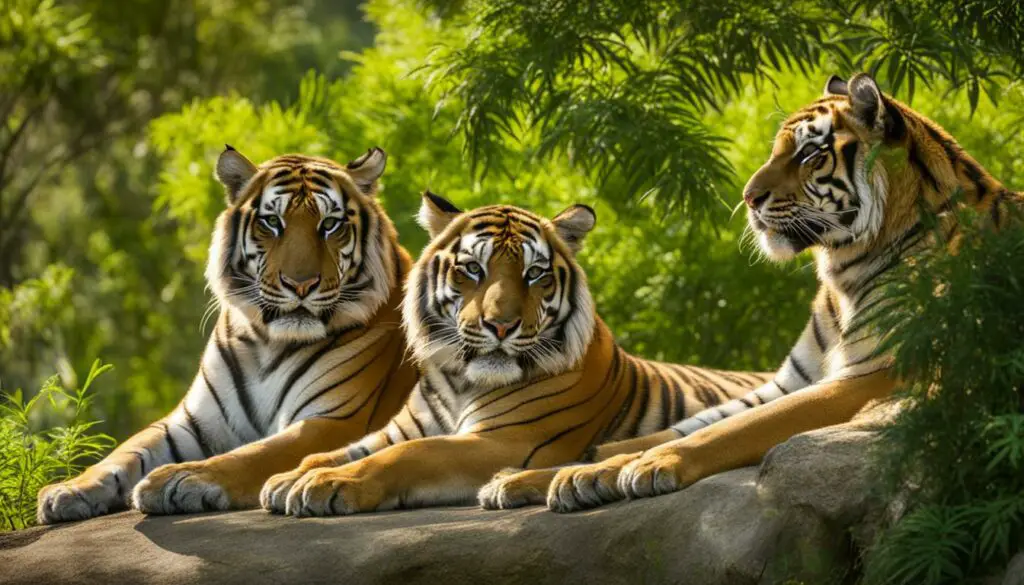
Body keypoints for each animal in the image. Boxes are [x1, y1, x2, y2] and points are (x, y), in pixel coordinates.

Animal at [36, 146, 418, 523]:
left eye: (329, 224)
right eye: (272, 222)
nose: (301, 284)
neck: (269, 343)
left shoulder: (334, 421)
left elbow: (254, 453)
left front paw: (180, 478)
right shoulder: (193, 423)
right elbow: (126, 451)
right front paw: (68, 489)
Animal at [257, 192, 772, 516]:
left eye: (535, 274)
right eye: (473, 269)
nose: (501, 325)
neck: (459, 378)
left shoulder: (507, 440)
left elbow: (406, 454)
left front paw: (329, 485)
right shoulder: (400, 428)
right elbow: (330, 451)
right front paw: (290, 478)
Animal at [490, 72, 1023, 514]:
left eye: (809, 154)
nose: (748, 198)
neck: (844, 275)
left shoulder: (870, 376)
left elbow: (732, 428)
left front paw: (639, 466)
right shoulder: (790, 380)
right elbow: (682, 426)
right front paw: (539, 475)